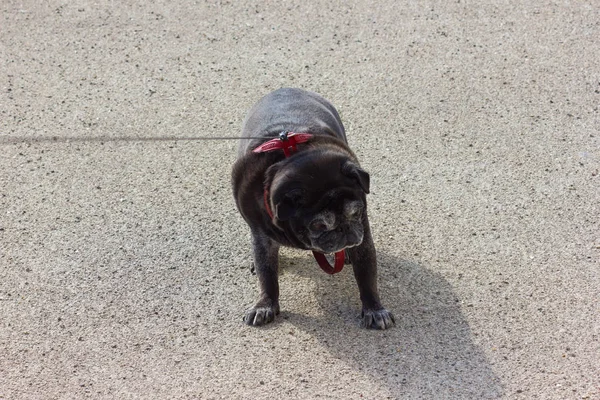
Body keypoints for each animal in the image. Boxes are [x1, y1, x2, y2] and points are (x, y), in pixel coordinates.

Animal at [230, 89, 394, 330]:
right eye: (318, 225)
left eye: (355, 213)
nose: (344, 229)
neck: (292, 157)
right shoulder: (262, 237)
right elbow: (266, 273)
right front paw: (265, 304)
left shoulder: (363, 233)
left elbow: (366, 274)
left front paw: (374, 308)